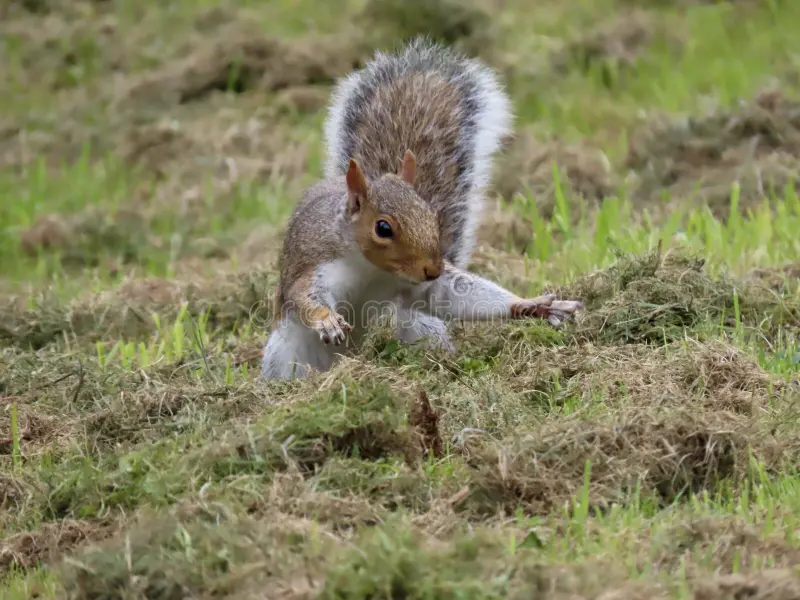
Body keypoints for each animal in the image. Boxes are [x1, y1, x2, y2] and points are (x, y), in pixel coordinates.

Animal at [261, 37, 583, 380]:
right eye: (383, 228)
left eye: (432, 216)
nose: (434, 269)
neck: (371, 269)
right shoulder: (317, 264)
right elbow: (304, 295)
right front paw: (326, 319)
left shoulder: (420, 287)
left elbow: (453, 296)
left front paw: (533, 304)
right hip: (285, 353)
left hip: (417, 323)